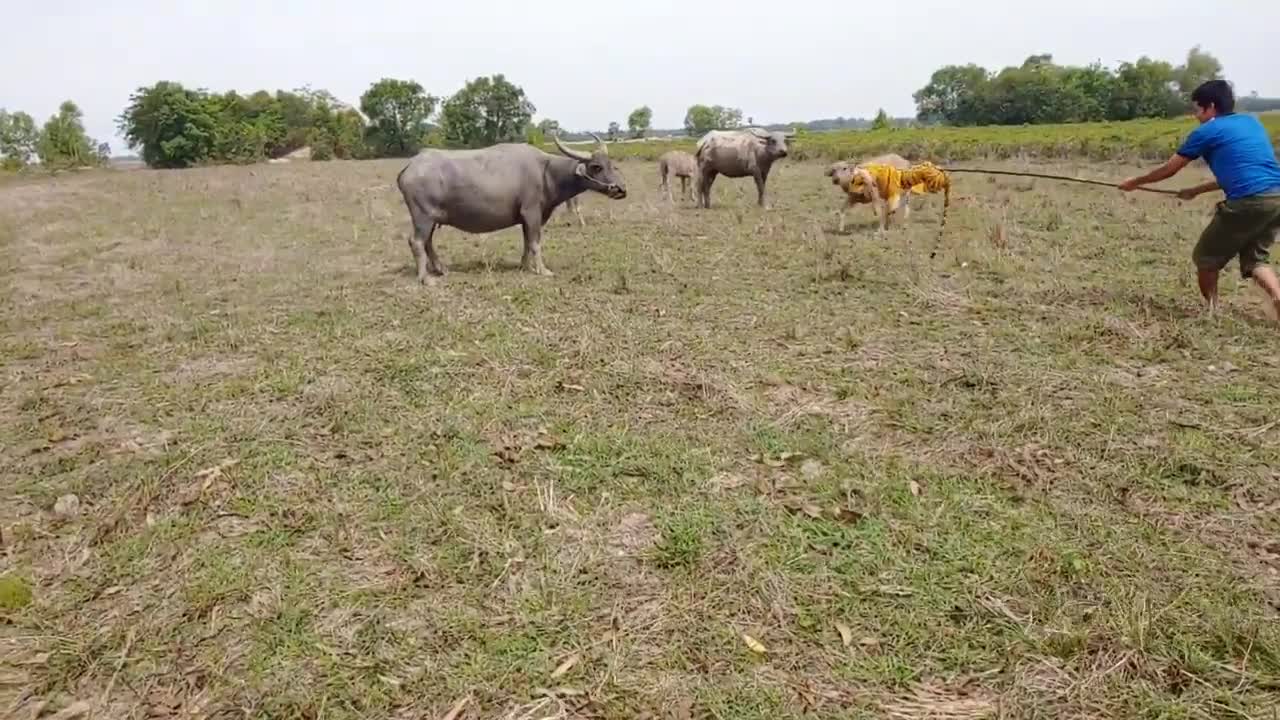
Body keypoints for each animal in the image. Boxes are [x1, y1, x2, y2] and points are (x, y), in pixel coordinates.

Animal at [394, 133, 624, 281]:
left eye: (611, 164)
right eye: (596, 167)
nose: (621, 189)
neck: (546, 172)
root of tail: (410, 165)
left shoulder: (526, 219)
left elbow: (527, 242)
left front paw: (525, 266)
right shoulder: (532, 213)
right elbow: (535, 243)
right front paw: (543, 270)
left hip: (431, 219)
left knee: (428, 242)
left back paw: (441, 269)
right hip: (423, 217)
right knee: (416, 242)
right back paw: (425, 278)